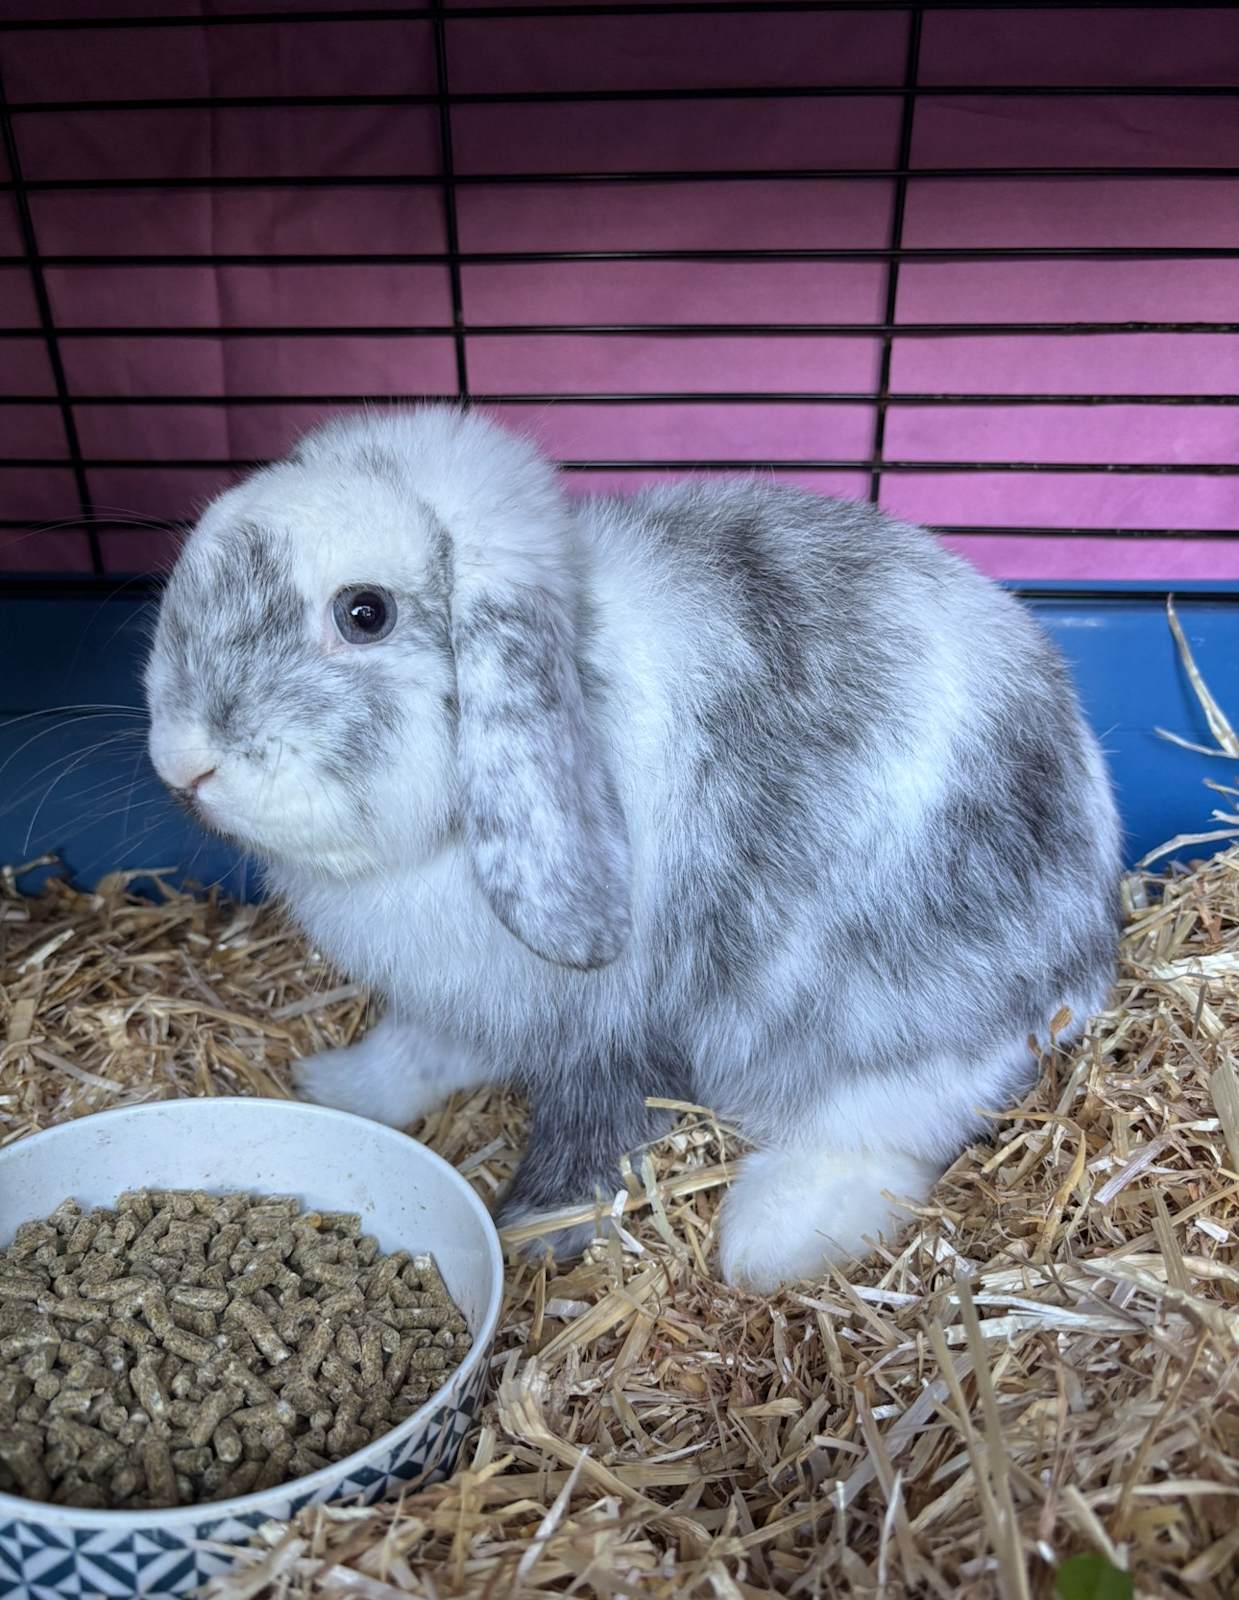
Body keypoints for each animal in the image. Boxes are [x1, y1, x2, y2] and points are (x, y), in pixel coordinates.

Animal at [145, 405, 1121, 1291]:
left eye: (363, 613)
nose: (183, 764)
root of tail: (1088, 956)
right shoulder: (462, 1001)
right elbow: (419, 1051)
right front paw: (336, 1087)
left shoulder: (619, 1031)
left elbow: (592, 1132)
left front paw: (534, 1232)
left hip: (879, 1025)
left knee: (885, 1126)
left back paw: (770, 1239)